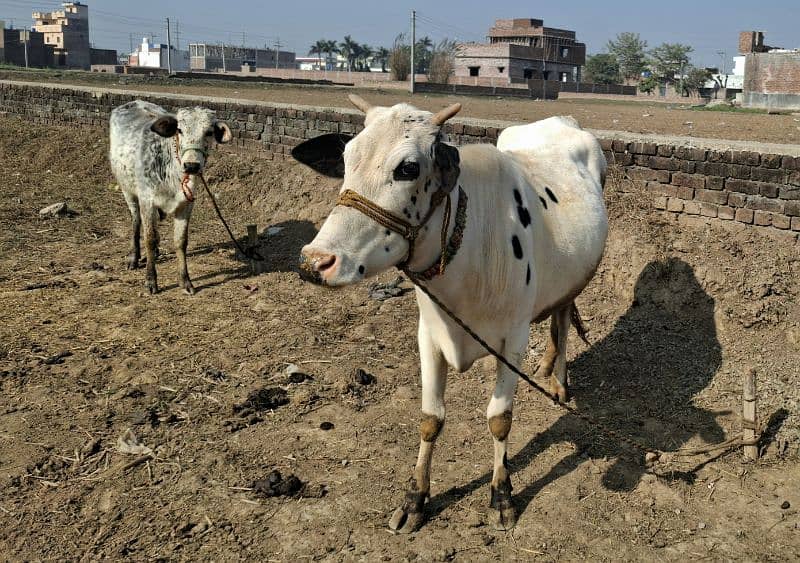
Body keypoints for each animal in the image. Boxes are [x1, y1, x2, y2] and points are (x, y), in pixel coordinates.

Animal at [294, 97, 608, 532]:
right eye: (346, 158)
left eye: (408, 168)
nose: (315, 261)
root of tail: (561, 120)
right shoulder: (429, 334)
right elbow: (431, 418)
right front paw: (415, 499)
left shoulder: (514, 340)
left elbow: (499, 419)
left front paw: (502, 496)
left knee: (562, 317)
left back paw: (559, 381)